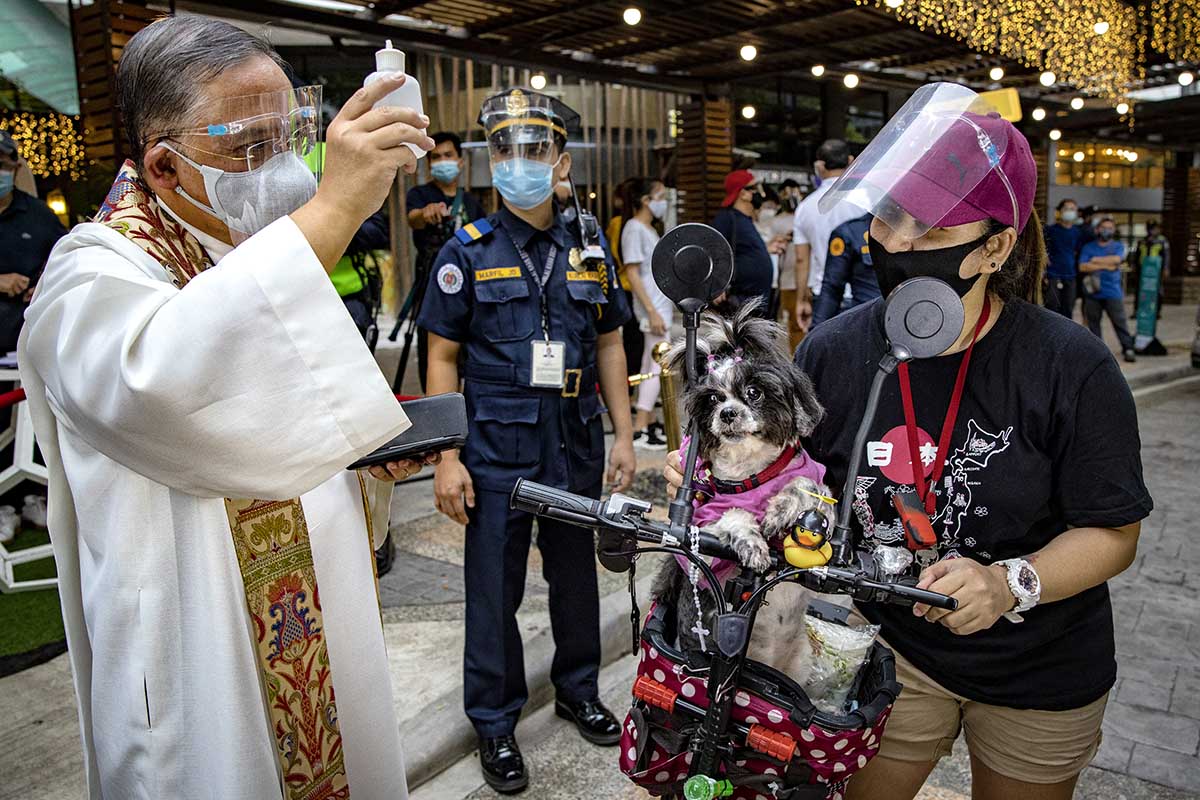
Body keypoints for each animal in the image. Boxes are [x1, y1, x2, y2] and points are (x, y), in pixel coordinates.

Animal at [657, 303, 835, 686]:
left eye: (754, 392)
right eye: (712, 399)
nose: (727, 413)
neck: (751, 477)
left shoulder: (821, 492)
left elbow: (807, 486)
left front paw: (779, 510)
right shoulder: (703, 530)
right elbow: (732, 517)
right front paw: (752, 541)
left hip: (800, 666)